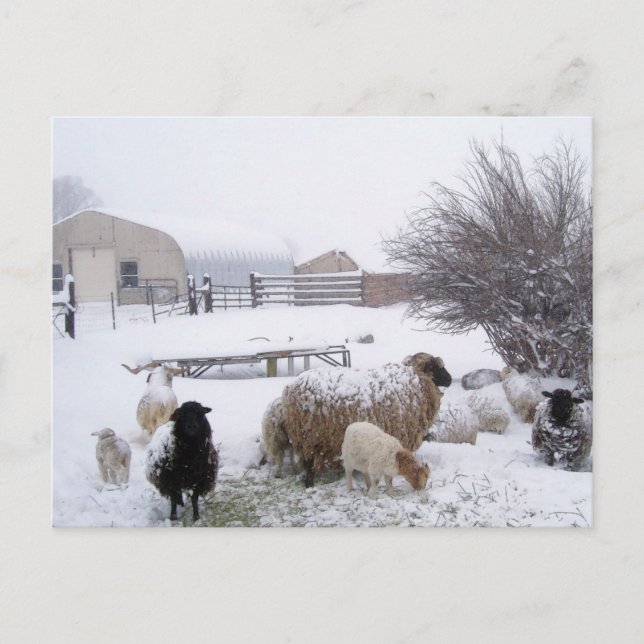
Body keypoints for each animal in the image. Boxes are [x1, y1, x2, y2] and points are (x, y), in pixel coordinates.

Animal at [281, 352, 451, 487]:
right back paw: (309, 483)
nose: (449, 380)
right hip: (309, 437)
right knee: (309, 463)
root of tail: (290, 389)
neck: (417, 380)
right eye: (437, 367)